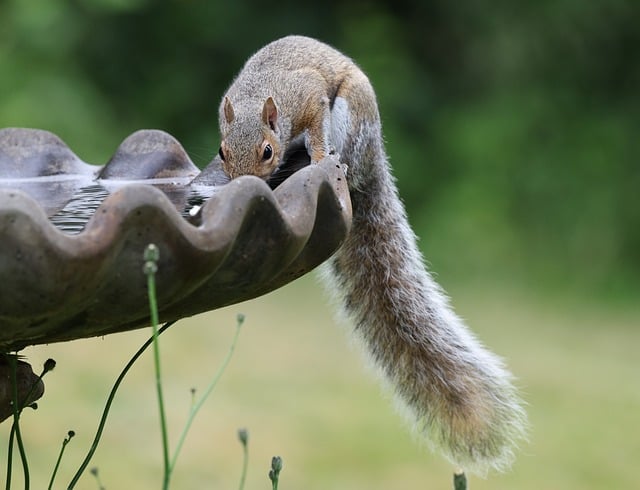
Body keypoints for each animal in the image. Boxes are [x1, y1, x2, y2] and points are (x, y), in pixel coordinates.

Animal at [217, 35, 527, 475]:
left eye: (266, 151)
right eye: (222, 151)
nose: (242, 186)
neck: (257, 96)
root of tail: (373, 155)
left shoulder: (308, 97)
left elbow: (314, 125)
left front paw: (317, 157)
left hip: (352, 116)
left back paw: (333, 159)